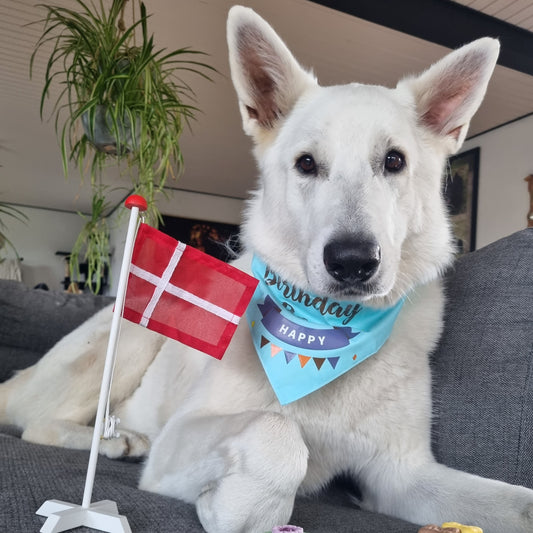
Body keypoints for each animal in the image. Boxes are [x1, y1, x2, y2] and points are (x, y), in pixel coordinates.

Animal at [1, 5, 532, 532]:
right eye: (307, 164)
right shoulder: (178, 440)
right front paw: (241, 506)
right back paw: (117, 440)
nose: (353, 262)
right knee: (38, 424)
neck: (324, 331)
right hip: (131, 339)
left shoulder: (401, 475)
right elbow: (276, 431)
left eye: (394, 161)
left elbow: (516, 503)